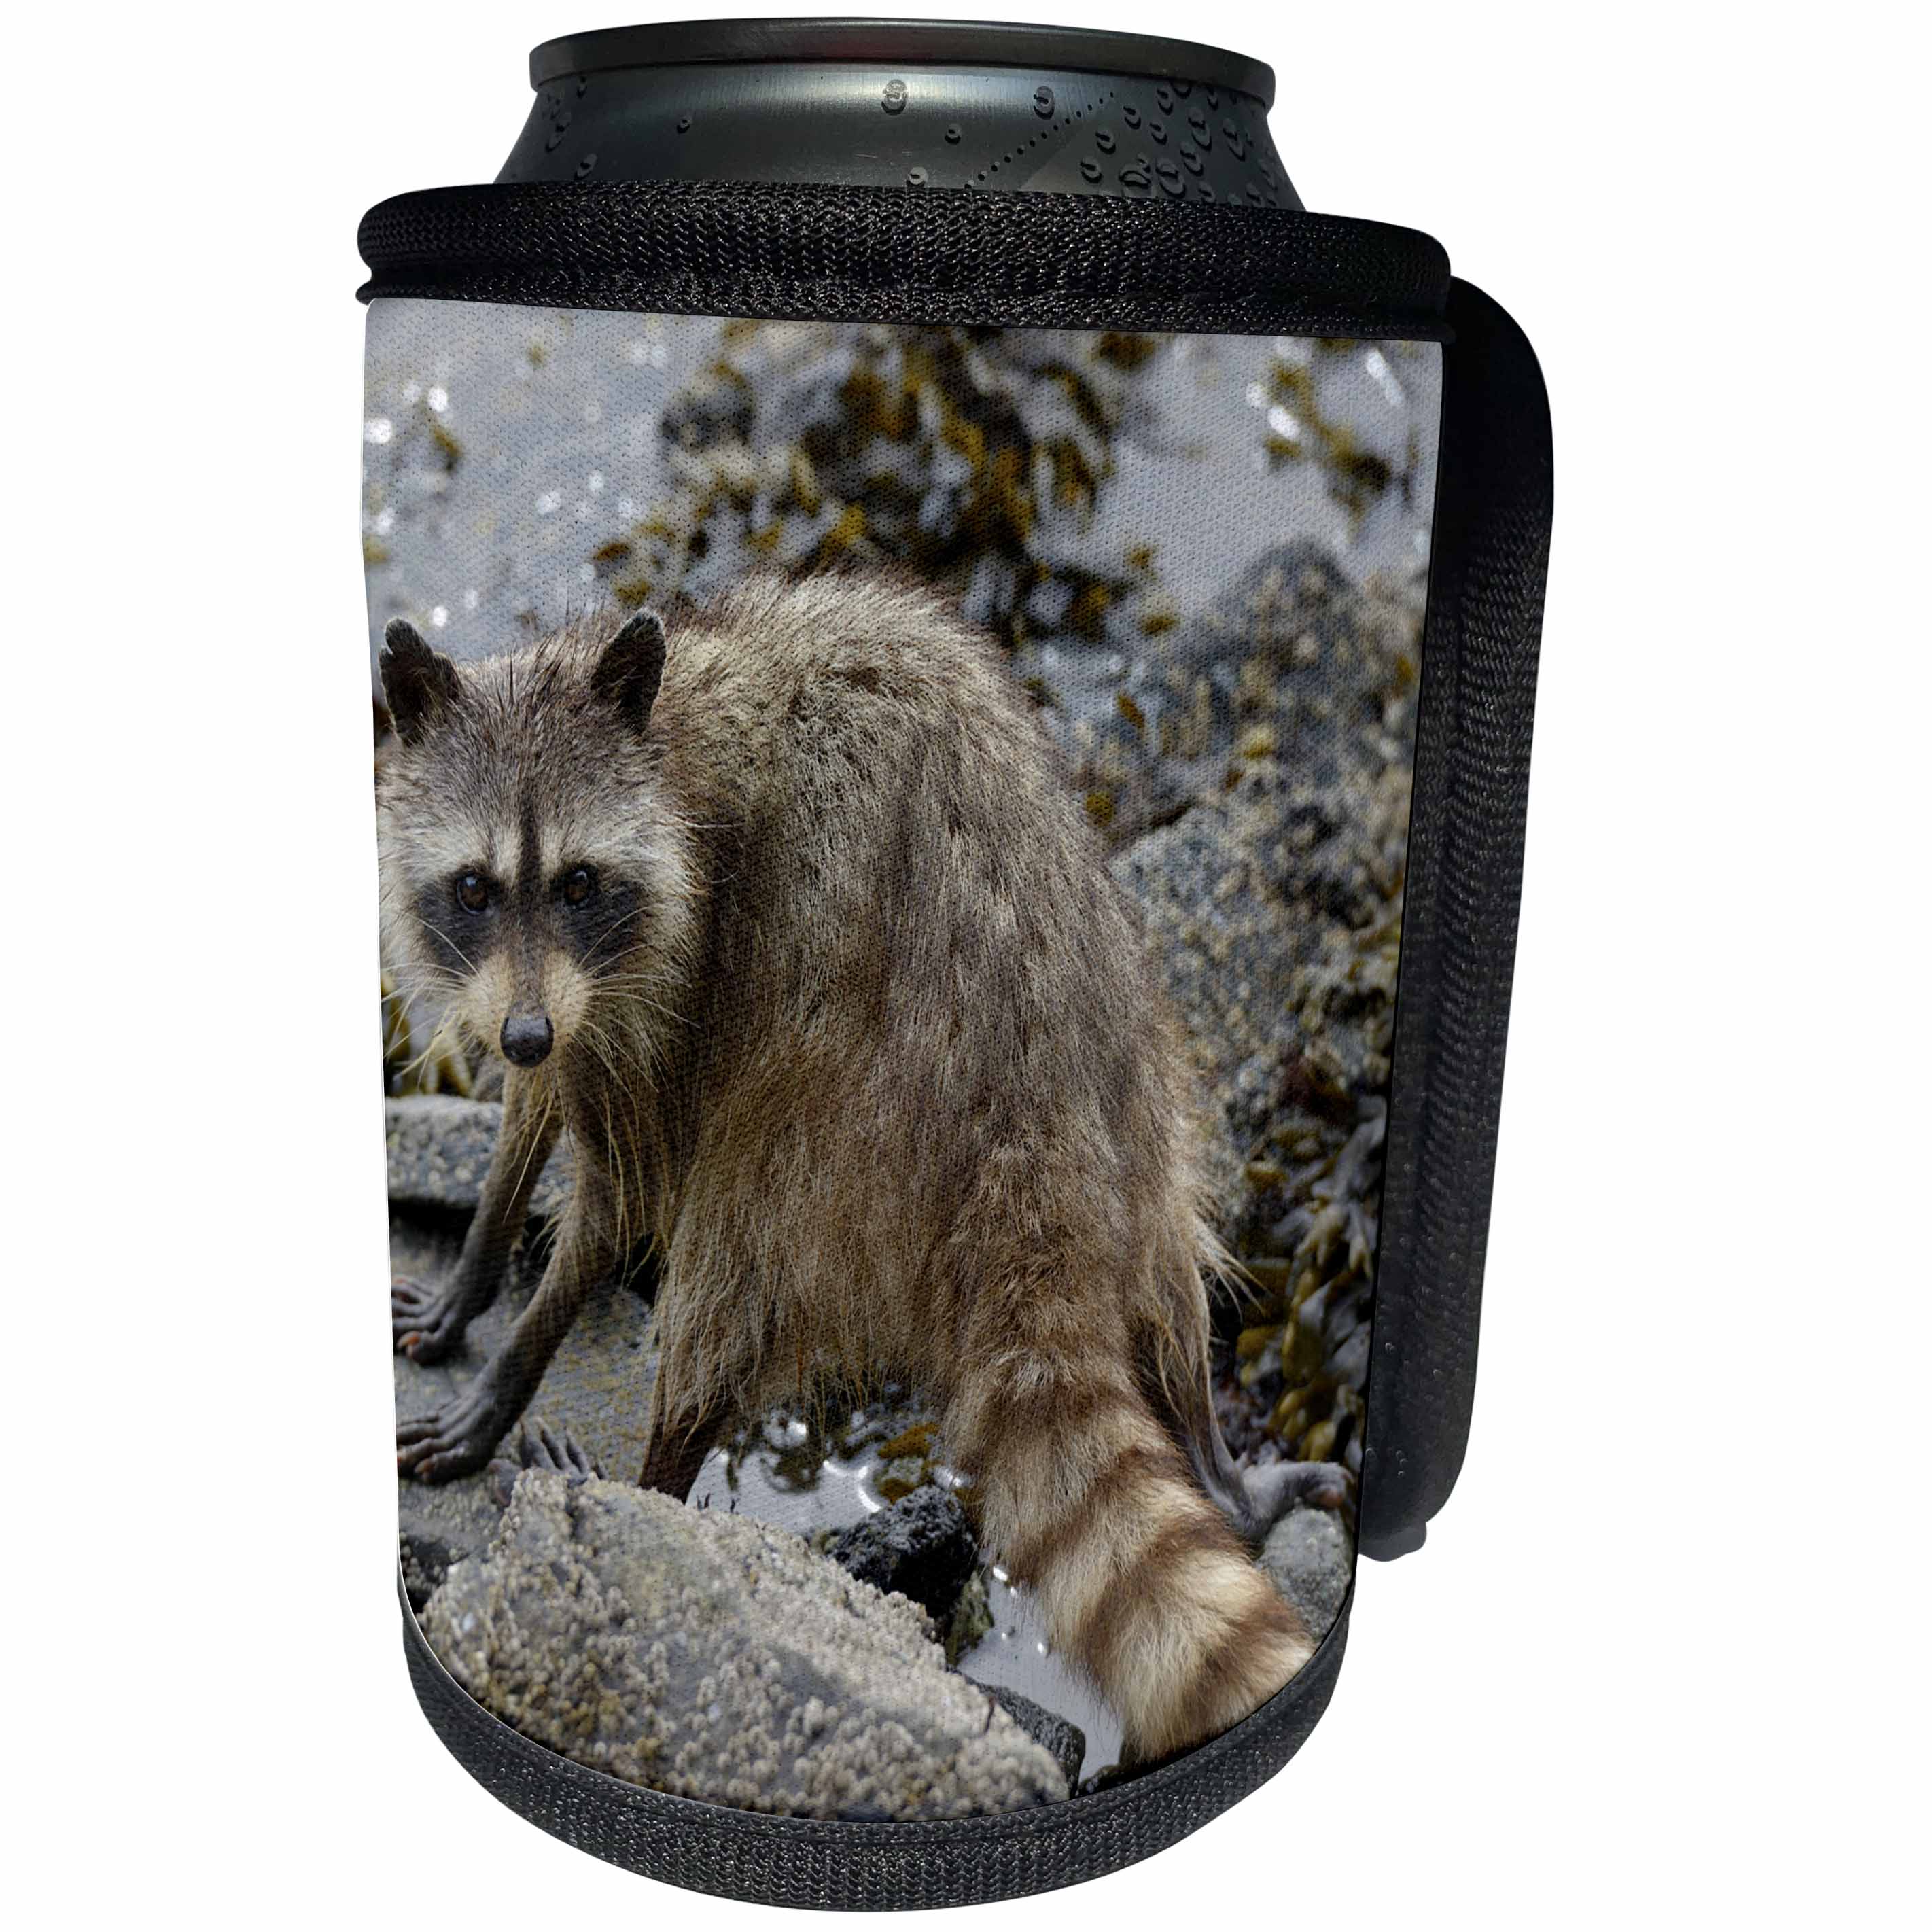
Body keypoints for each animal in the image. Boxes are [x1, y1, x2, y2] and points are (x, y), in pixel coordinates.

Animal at [379, 576, 1334, 1763]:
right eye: (472, 887)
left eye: (577, 881)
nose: (518, 1033)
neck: (665, 723)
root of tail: (1027, 1124)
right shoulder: (559, 992)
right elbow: (536, 1104)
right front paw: (475, 1260)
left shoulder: (677, 963)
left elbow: (620, 1192)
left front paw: (510, 1361)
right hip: (1136, 1090)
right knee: (1169, 1286)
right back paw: (1223, 1476)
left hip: (833, 1125)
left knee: (721, 1280)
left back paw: (650, 1490)